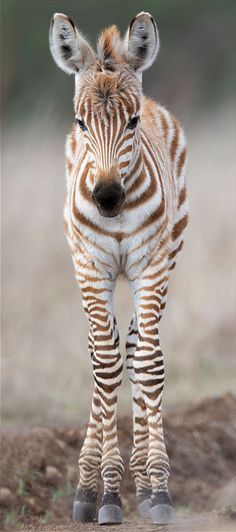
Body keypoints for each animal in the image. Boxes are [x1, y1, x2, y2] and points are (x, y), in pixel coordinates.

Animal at [49, 10, 188, 524]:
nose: (107, 198)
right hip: (87, 266)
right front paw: (106, 493)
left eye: (132, 122)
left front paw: (158, 490)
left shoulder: (151, 264)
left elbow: (147, 363)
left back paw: (145, 485)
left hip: (166, 257)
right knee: (102, 349)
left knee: (138, 346)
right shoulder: (93, 266)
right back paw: (88, 486)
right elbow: (106, 365)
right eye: (80, 121)